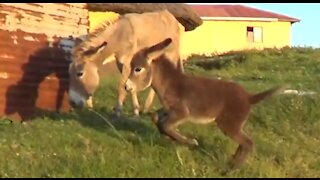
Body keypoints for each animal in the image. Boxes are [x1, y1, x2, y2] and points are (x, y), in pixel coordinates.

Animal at [124, 38, 286, 169]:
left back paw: (232, 168)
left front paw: (191, 142)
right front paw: (171, 139)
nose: (126, 87)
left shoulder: (182, 112)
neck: (170, 84)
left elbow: (165, 125)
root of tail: (249, 97)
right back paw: (232, 161)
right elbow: (156, 119)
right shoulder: (168, 109)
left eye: (137, 69)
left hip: (228, 124)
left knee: (248, 143)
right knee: (244, 144)